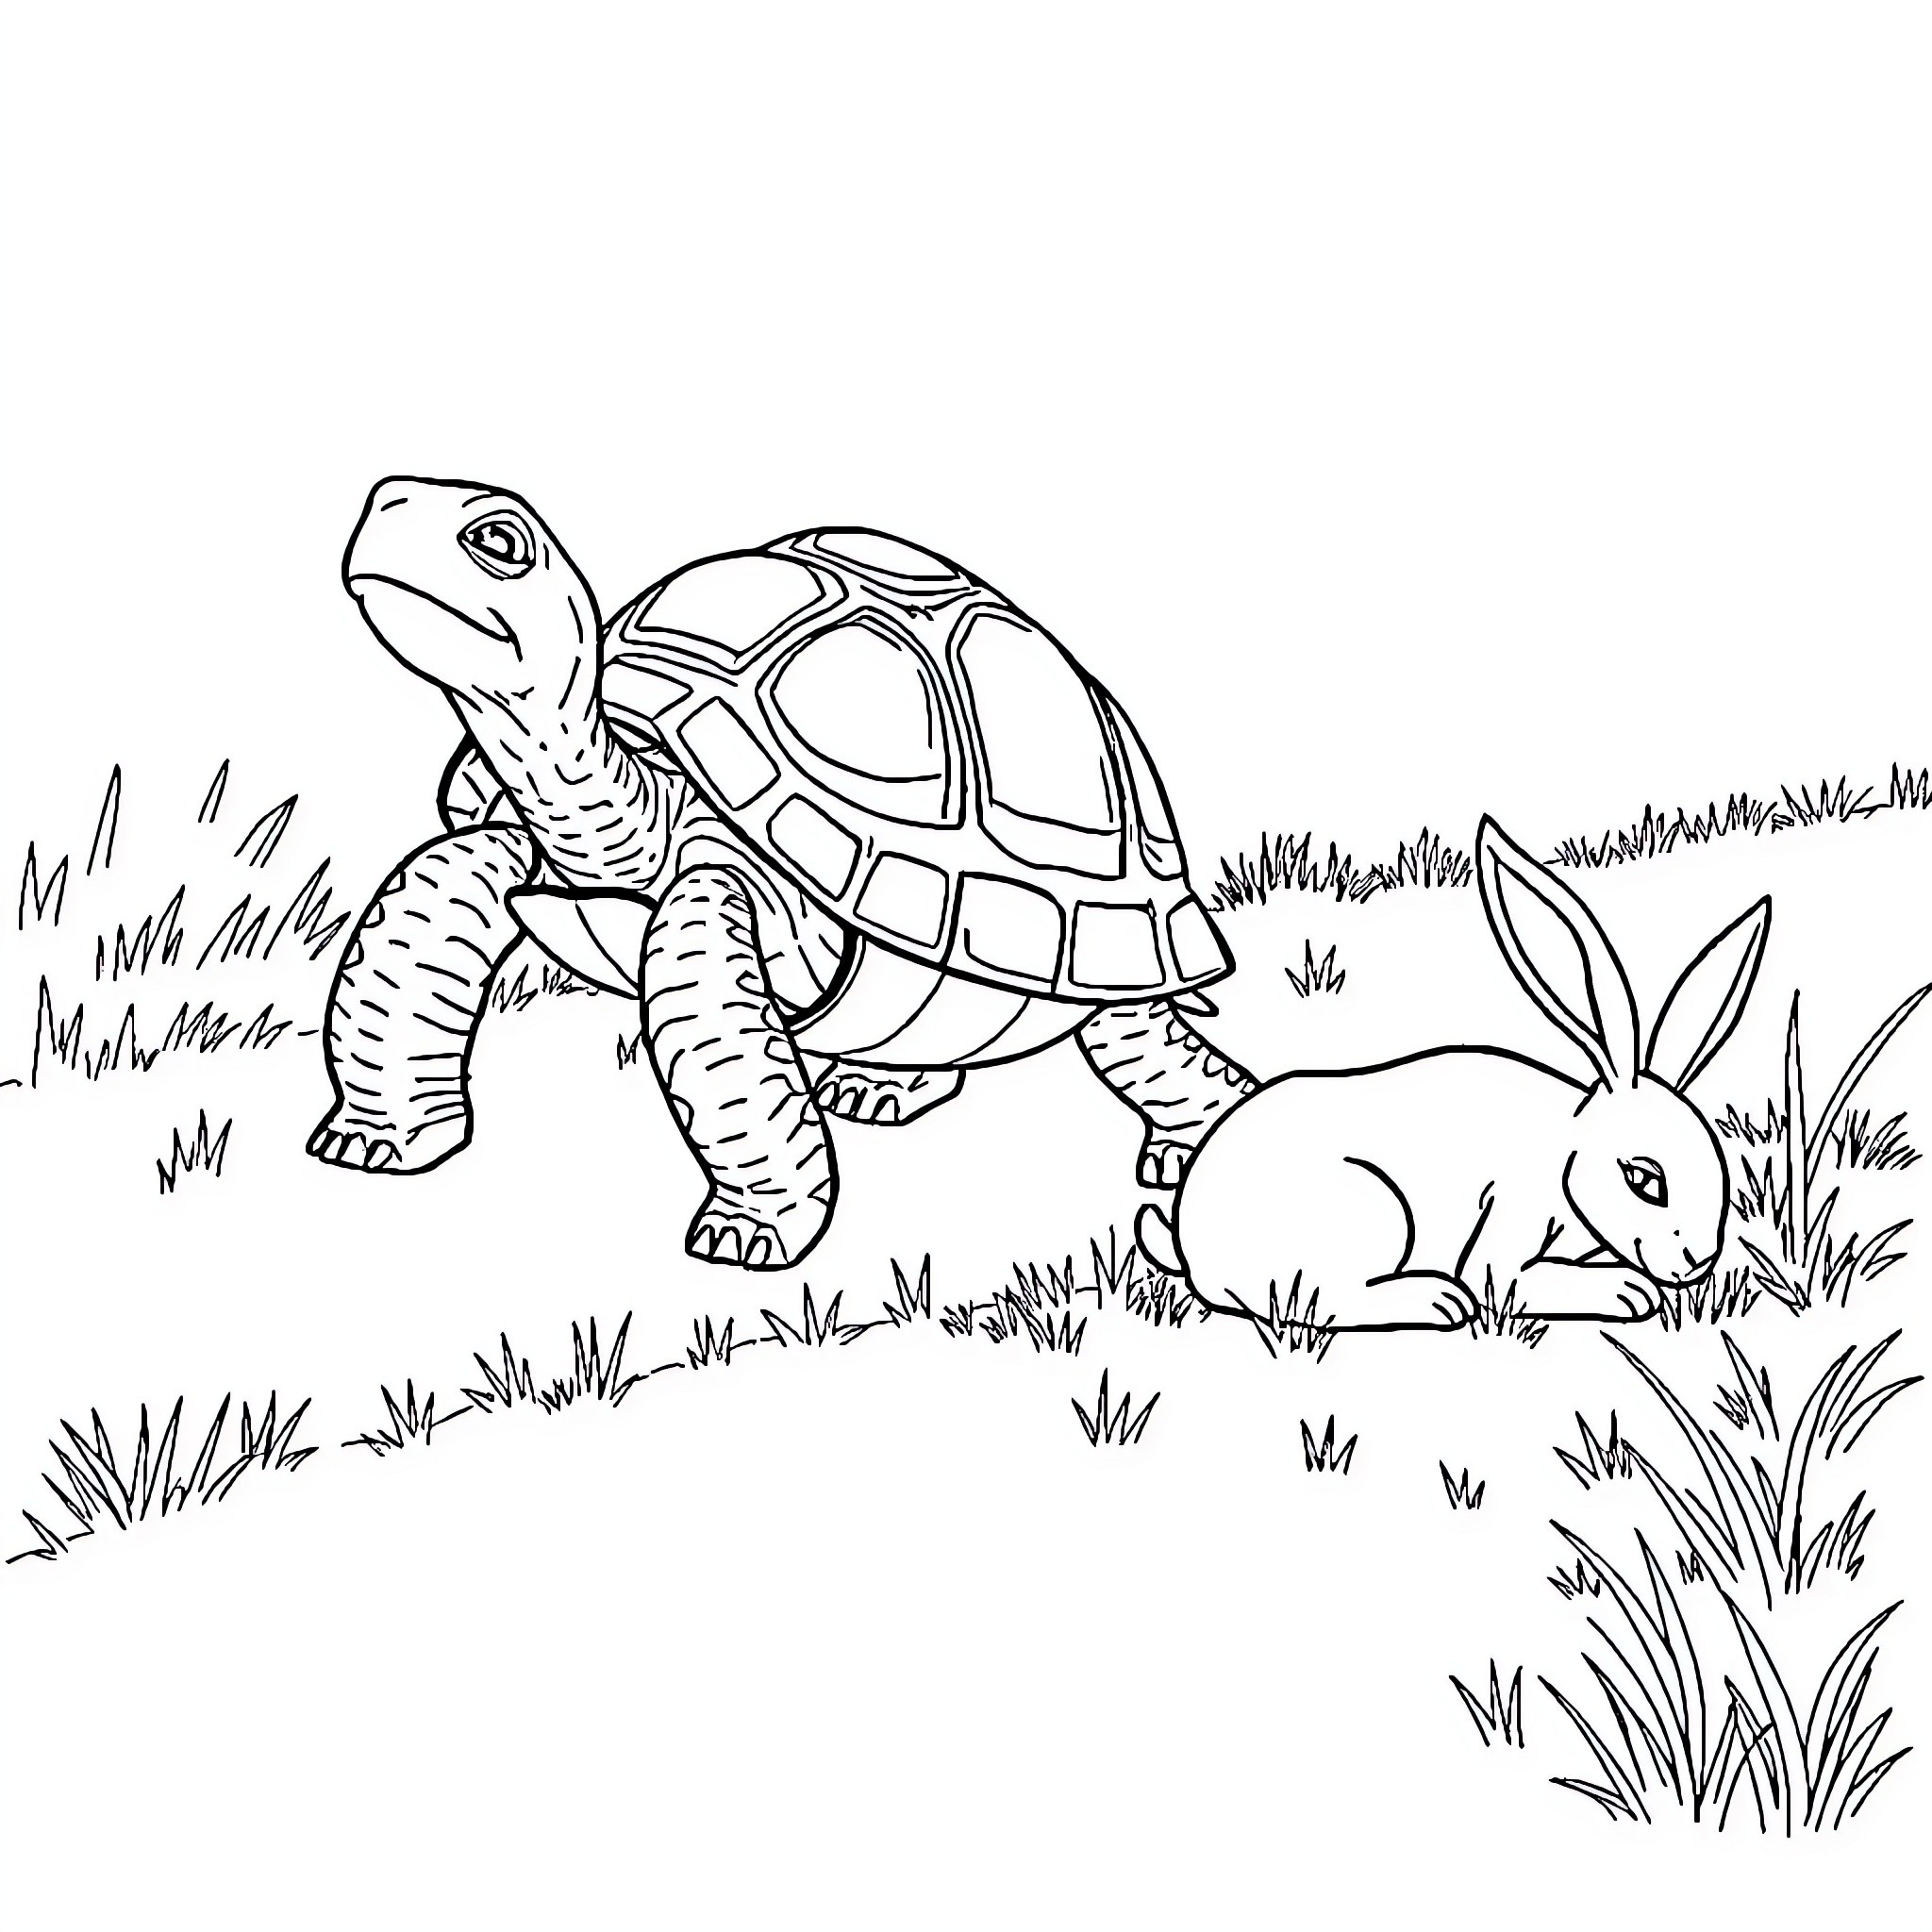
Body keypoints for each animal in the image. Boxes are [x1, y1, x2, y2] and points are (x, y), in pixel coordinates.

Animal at [1137, 817, 1771, 1331]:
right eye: (1644, 1179)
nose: (1696, 1263)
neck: (1569, 1147)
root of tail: (1189, 1241)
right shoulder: (1509, 1225)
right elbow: (1510, 1280)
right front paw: (1627, 1291)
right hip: (1370, 1210)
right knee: (1320, 1300)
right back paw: (1438, 1301)